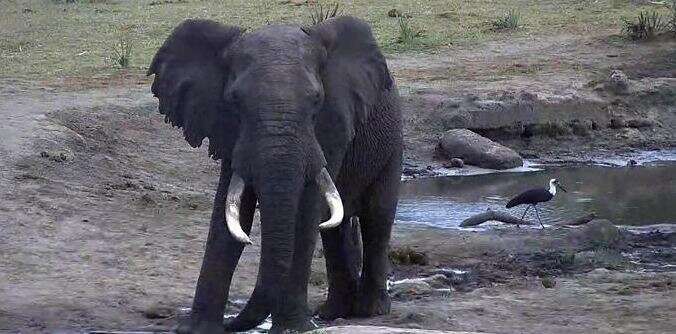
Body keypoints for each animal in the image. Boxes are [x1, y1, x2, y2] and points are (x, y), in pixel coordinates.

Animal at [148, 15, 402, 334]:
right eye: (234, 101)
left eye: (316, 100)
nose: (231, 324)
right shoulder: (229, 130)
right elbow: (231, 210)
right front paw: (197, 329)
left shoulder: (331, 125)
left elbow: (306, 211)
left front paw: (293, 329)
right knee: (334, 228)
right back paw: (332, 313)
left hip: (392, 145)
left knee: (377, 217)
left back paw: (370, 311)